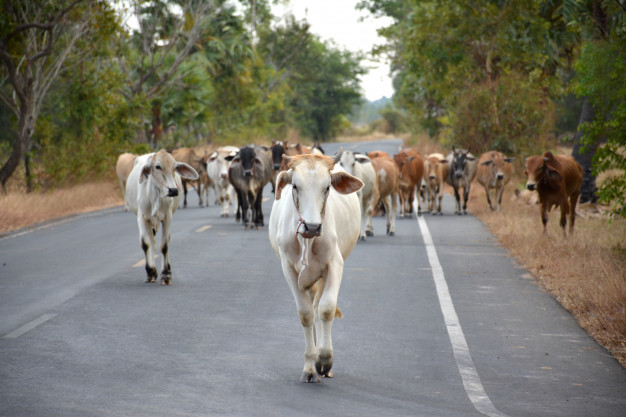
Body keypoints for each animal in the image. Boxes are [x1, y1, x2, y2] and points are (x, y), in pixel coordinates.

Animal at [123, 149, 196, 282]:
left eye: (174, 167)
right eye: (157, 167)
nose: (173, 190)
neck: (154, 195)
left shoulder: (167, 217)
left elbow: (164, 245)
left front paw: (166, 273)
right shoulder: (141, 217)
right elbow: (145, 243)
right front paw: (150, 271)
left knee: (165, 240)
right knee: (151, 241)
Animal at [266, 151, 364, 382]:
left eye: (327, 187)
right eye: (295, 186)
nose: (311, 227)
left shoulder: (334, 264)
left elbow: (326, 309)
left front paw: (324, 360)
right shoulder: (289, 269)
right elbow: (306, 314)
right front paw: (310, 366)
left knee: (319, 305)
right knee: (312, 307)